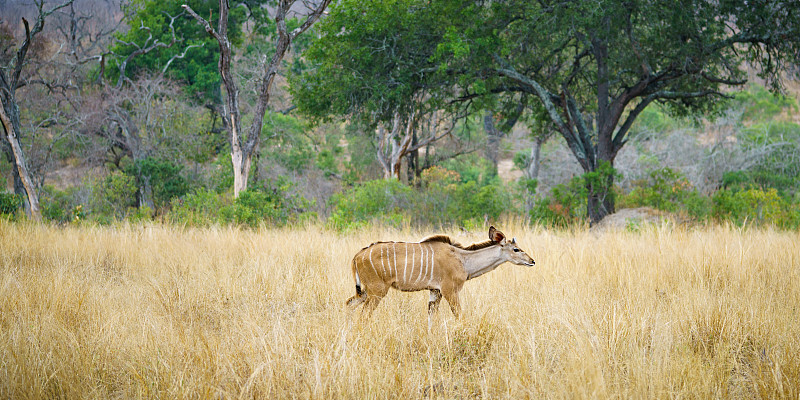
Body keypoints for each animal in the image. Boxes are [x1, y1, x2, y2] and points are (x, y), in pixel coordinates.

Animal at [346, 227, 536, 318]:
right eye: (516, 249)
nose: (532, 261)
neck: (462, 259)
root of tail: (357, 256)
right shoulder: (449, 290)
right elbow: (459, 315)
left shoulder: (434, 292)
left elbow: (431, 319)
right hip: (377, 291)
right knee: (364, 315)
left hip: (366, 291)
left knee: (349, 304)